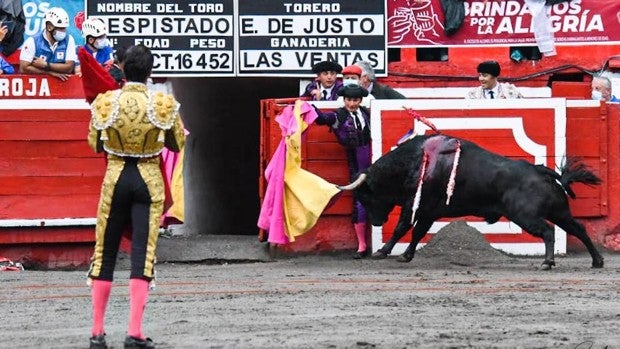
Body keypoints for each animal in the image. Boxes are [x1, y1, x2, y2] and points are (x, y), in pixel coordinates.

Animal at [336, 134, 604, 270]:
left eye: (365, 195)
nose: (376, 222)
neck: (414, 162)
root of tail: (540, 171)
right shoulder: (429, 211)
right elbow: (418, 232)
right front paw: (406, 255)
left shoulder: (415, 205)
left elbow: (403, 227)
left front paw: (382, 251)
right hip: (560, 212)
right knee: (579, 229)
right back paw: (597, 261)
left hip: (525, 216)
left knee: (548, 231)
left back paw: (548, 262)